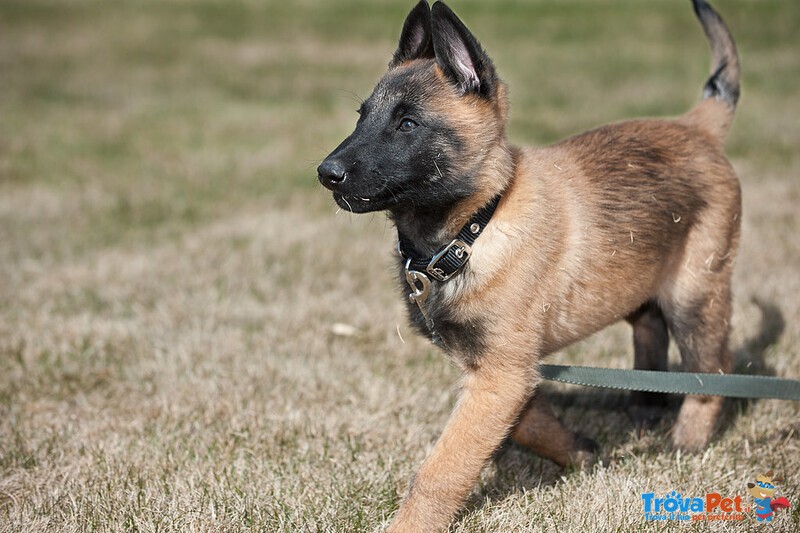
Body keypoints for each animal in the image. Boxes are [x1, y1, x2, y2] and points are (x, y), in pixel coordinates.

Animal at [318, 0, 736, 528]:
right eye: (362, 117)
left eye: (407, 124)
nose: (325, 173)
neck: (475, 225)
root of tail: (696, 125)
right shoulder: (500, 370)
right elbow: (523, 423)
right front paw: (578, 449)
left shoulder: (501, 372)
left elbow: (442, 468)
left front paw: (409, 526)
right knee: (649, 326)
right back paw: (644, 407)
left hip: (695, 292)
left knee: (712, 370)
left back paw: (686, 442)